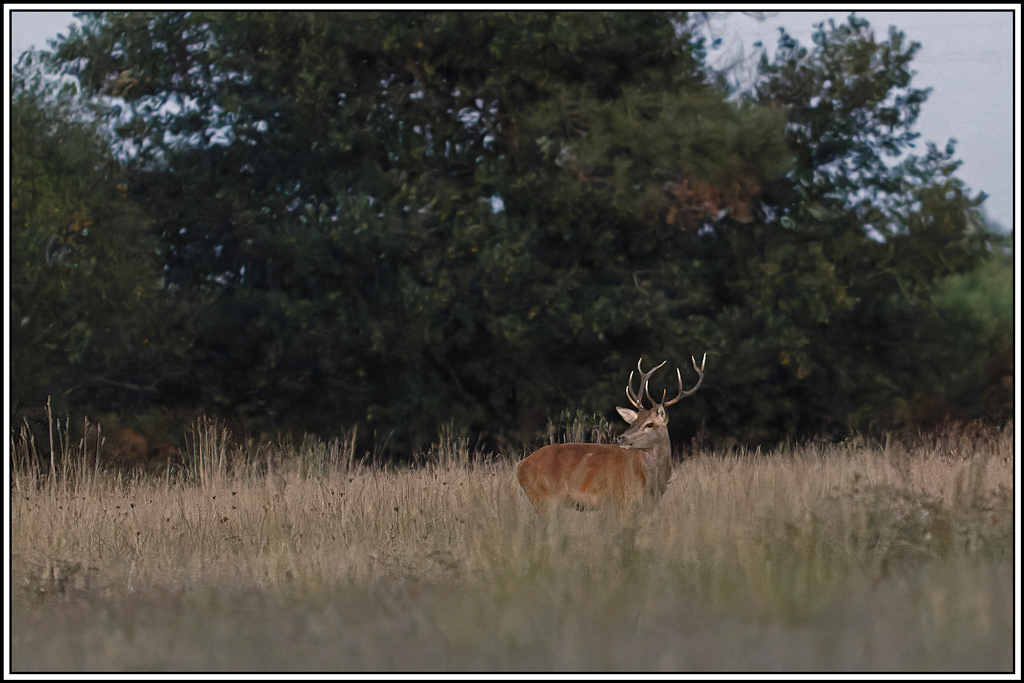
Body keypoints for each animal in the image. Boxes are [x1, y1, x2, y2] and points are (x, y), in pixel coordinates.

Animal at [515, 354, 706, 514]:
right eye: (633, 422)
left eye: (649, 424)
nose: (621, 437)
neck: (653, 481)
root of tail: (520, 466)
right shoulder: (618, 502)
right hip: (544, 499)